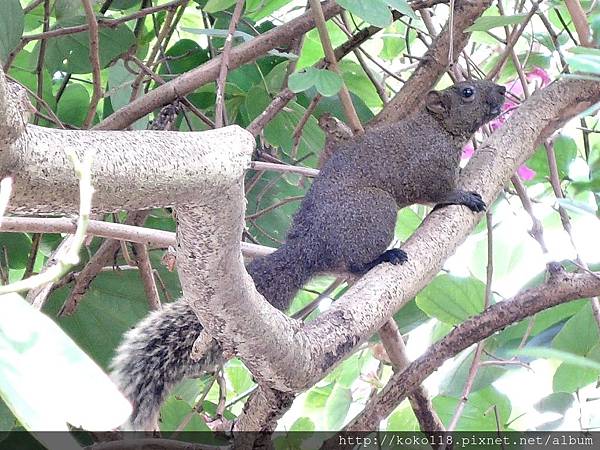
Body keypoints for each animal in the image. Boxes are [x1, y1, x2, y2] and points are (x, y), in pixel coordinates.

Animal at [109, 80, 506, 428]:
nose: (503, 90)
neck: (437, 129)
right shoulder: (427, 167)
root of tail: (309, 247)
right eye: (467, 92)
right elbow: (437, 191)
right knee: (356, 261)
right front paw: (463, 196)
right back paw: (382, 258)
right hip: (376, 210)